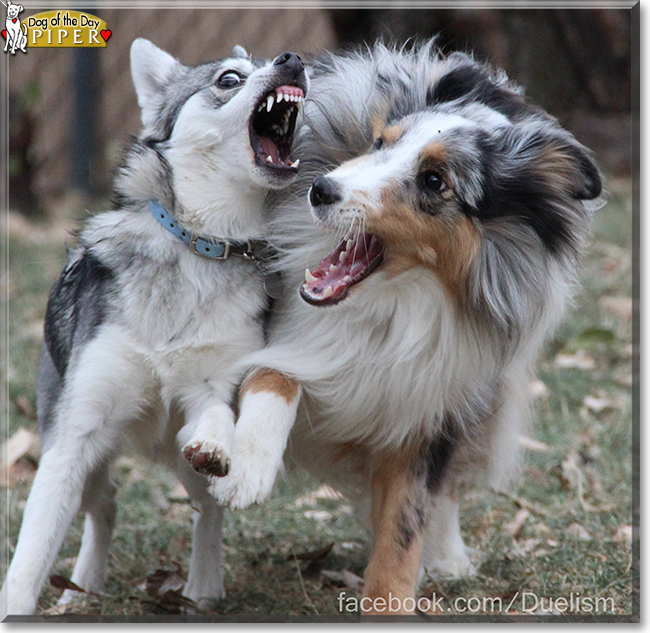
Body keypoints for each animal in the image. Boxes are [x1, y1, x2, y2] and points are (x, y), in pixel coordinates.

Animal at [2, 38, 306, 612]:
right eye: (229, 79)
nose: (295, 61)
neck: (202, 247)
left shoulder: (209, 388)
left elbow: (217, 417)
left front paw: (215, 443)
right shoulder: (73, 439)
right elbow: (29, 559)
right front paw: (21, 605)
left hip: (177, 462)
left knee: (205, 509)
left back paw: (203, 587)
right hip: (84, 455)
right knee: (105, 506)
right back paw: (81, 588)